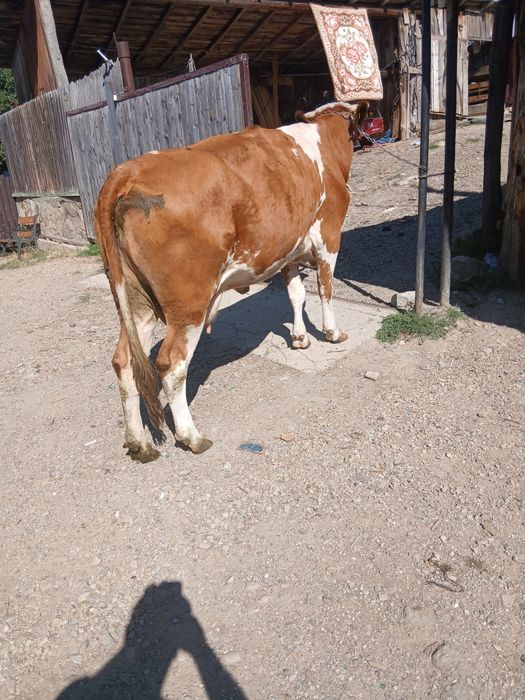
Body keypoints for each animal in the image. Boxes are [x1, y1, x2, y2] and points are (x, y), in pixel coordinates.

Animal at [94, 100, 368, 462]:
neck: (323, 145)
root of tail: (127, 171)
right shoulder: (329, 234)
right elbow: (325, 288)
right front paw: (333, 333)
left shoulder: (288, 250)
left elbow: (296, 294)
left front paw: (299, 338)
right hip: (189, 302)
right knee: (171, 364)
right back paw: (192, 437)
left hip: (135, 300)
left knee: (124, 362)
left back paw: (139, 442)